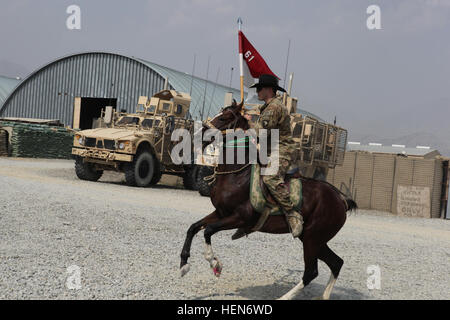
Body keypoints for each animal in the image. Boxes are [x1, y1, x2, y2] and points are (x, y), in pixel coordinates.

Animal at [178, 100, 356, 300]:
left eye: (224, 117)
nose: (197, 135)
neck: (237, 175)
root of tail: (340, 199)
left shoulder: (240, 218)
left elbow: (208, 231)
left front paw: (214, 263)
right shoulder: (220, 213)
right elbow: (193, 227)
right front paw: (184, 264)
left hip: (312, 239)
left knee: (311, 272)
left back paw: (285, 297)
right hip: (315, 240)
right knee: (336, 263)